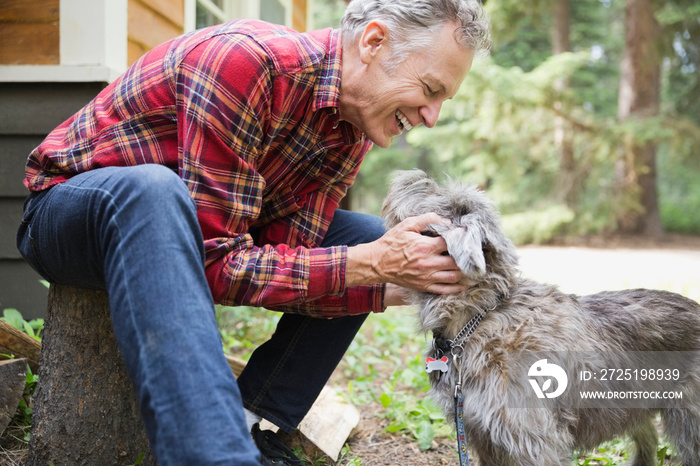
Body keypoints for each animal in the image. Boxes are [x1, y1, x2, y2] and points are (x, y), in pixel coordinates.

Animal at [380, 169, 700, 466]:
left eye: (443, 197)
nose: (412, 174)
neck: (479, 318)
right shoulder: (484, 438)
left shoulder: (535, 441)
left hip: (689, 422)